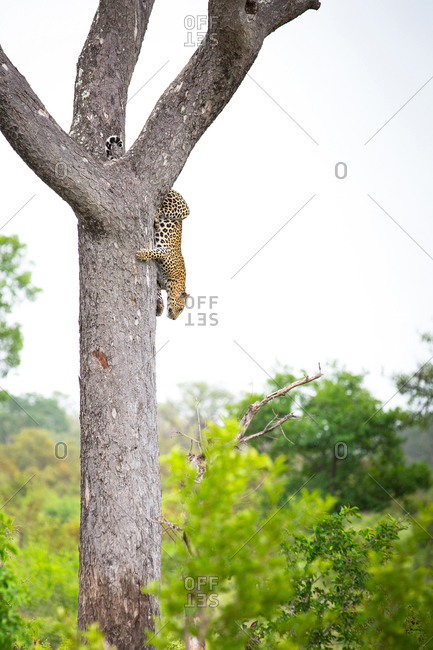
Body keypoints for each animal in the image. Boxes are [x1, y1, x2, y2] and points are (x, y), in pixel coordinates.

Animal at [136, 189, 190, 320]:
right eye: (180, 309)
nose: (174, 318)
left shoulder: (158, 281)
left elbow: (157, 291)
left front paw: (160, 306)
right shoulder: (166, 254)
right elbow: (155, 252)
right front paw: (142, 254)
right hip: (183, 209)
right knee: (163, 207)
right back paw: (156, 218)